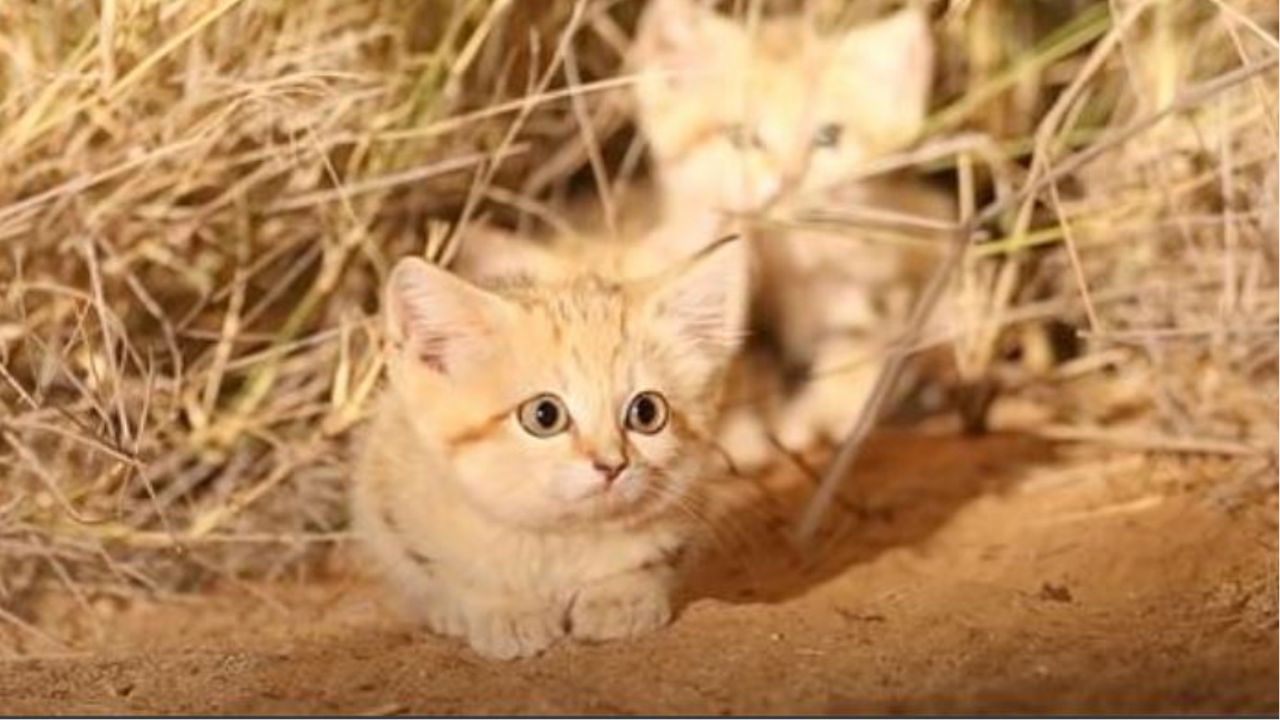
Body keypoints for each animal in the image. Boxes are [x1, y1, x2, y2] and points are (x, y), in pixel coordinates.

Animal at [353, 235, 747, 655]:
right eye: (544, 415)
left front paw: (620, 597)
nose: (612, 465)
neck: (562, 539)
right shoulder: (395, 504)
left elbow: (646, 562)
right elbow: (451, 573)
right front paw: (504, 609)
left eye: (647, 412)